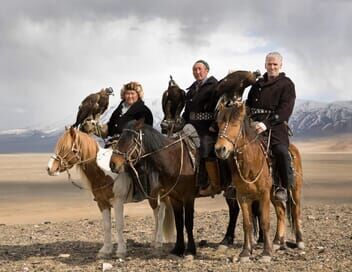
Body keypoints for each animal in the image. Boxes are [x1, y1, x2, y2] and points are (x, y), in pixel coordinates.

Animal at [46, 127, 175, 258]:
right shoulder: (102, 203)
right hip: (151, 197)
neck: (103, 172)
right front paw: (105, 250)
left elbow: (119, 225)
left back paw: (158, 242)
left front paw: (121, 250)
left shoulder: (118, 202)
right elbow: (107, 225)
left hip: (162, 194)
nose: (49, 169)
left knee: (161, 214)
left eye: (65, 147)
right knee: (156, 214)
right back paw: (154, 241)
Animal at [213, 99, 304, 262]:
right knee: (281, 211)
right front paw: (245, 252)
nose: (220, 149)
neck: (250, 162)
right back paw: (277, 242)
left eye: (235, 123)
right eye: (219, 123)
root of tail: (293, 148)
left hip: (295, 190)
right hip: (274, 194)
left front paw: (266, 253)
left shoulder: (263, 195)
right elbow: (247, 224)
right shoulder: (242, 196)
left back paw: (299, 241)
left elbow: (264, 222)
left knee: (295, 210)